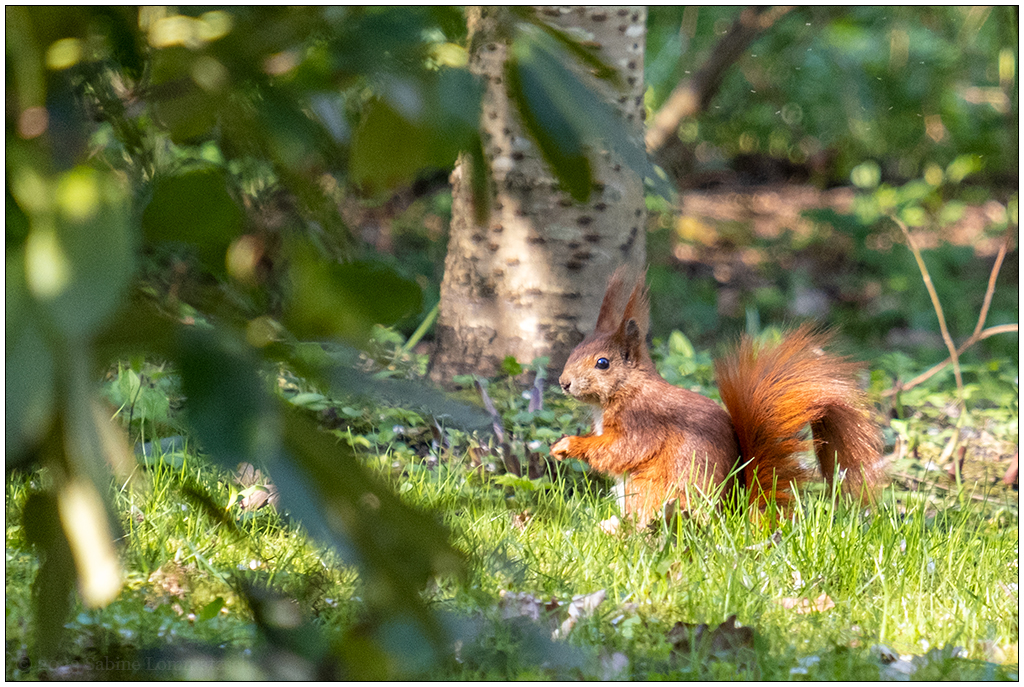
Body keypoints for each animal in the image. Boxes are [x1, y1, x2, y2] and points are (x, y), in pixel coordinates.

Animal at [550, 267, 883, 524]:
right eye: (576, 349)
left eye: (602, 363)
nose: (563, 382)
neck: (628, 390)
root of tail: (732, 514)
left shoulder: (642, 423)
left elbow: (621, 450)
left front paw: (571, 444)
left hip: (651, 490)